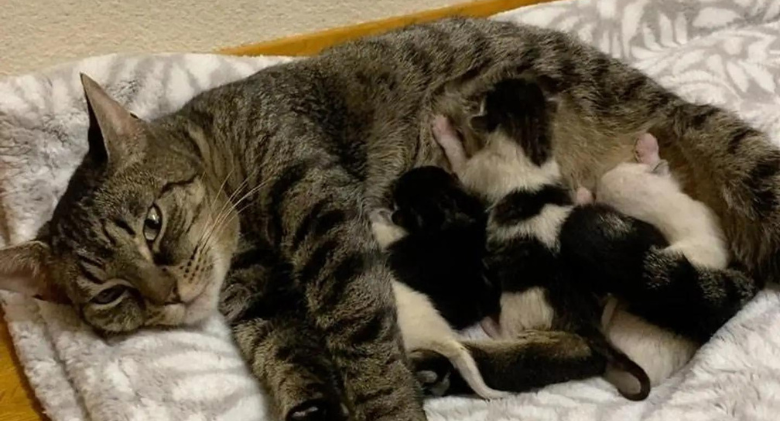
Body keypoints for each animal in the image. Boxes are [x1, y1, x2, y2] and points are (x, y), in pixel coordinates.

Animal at [0, 16, 772, 420]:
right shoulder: (260, 293)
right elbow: (288, 351)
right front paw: (315, 406)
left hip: (737, 162)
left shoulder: (322, 208)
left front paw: (384, 403)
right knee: (575, 344)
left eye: (153, 225)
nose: (170, 295)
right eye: (110, 294)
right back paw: (447, 368)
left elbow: (357, 328)